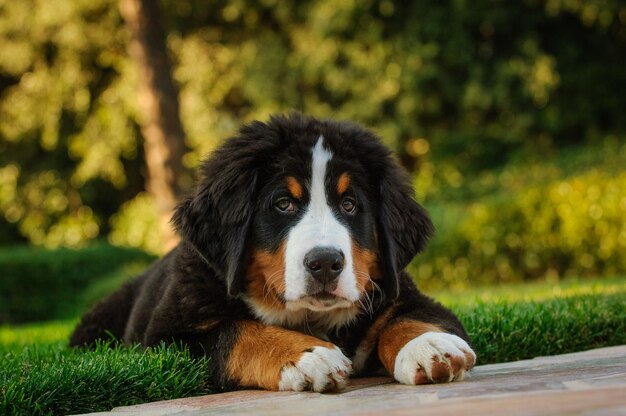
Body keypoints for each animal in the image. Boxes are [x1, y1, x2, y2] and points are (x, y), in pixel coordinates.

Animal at [69, 113, 472, 390]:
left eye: (349, 205)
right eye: (283, 204)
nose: (325, 263)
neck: (308, 318)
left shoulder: (401, 292)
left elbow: (408, 317)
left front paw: (429, 346)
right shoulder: (167, 342)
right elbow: (236, 333)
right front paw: (307, 357)